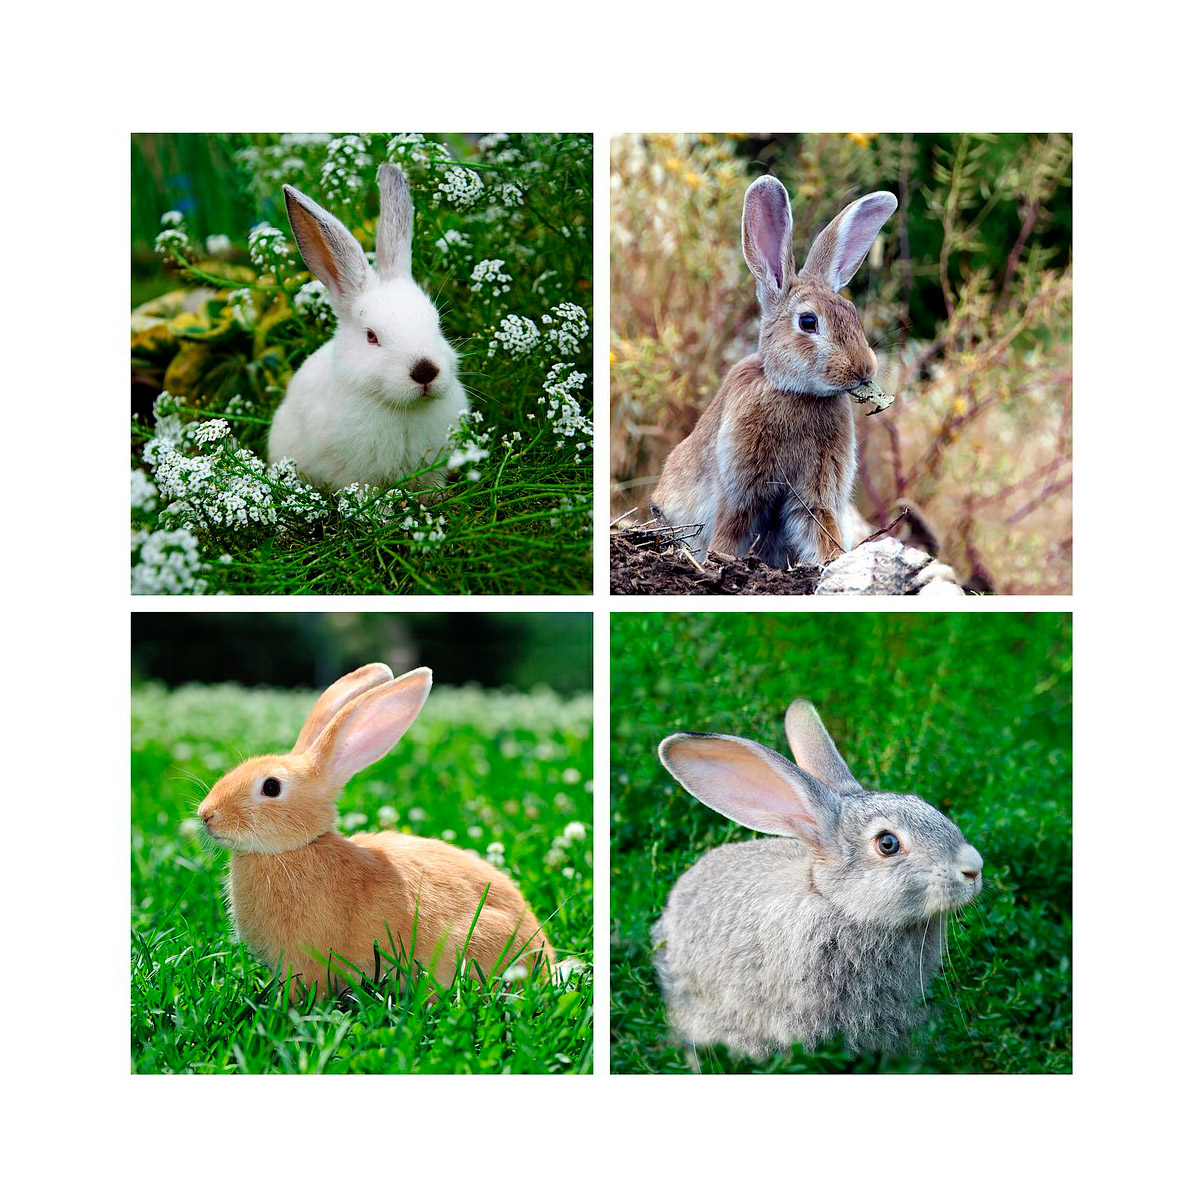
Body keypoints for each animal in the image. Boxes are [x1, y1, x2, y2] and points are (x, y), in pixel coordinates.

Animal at [651, 176, 897, 567]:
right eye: (808, 322)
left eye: (852, 313)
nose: (864, 369)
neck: (795, 393)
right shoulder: (741, 488)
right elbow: (731, 528)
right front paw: (720, 561)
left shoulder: (816, 492)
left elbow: (820, 526)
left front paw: (832, 561)